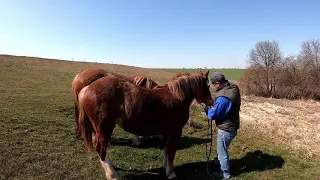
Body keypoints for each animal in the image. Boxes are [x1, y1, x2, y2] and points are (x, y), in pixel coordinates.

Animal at [77, 69, 212, 179]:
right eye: (207, 85)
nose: (211, 101)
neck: (176, 97)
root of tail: (87, 88)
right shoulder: (175, 132)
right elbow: (171, 152)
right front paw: (171, 173)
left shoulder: (166, 132)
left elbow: (166, 150)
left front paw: (166, 167)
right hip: (104, 128)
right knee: (101, 149)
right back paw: (112, 174)